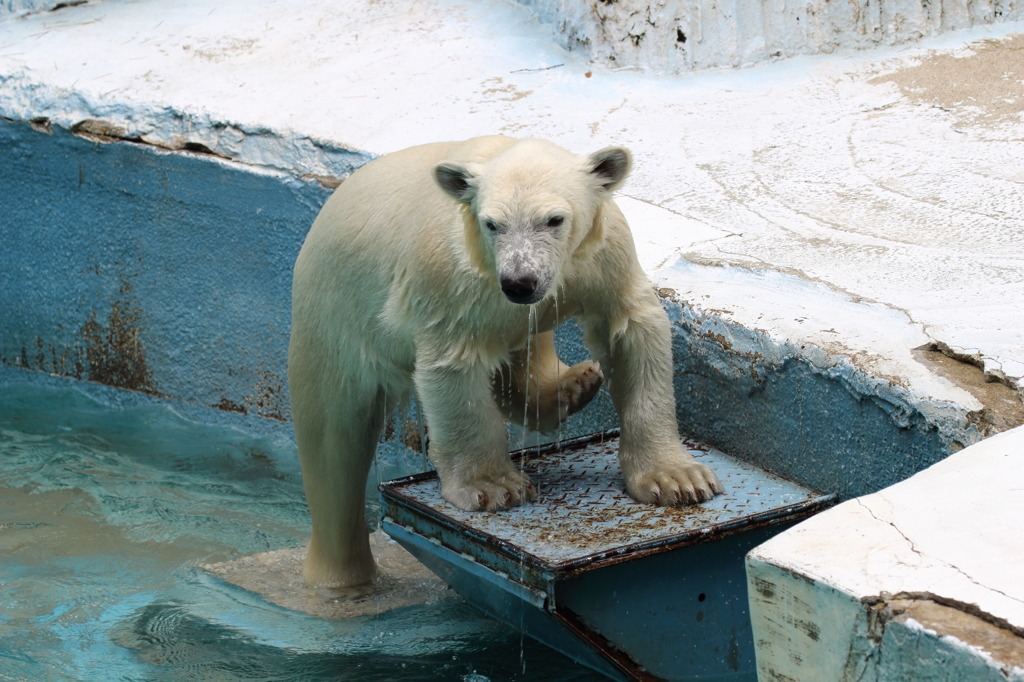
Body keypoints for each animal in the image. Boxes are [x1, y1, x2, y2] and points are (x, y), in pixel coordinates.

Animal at [286, 137, 720, 585]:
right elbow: (455, 368)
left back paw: (574, 385)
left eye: (554, 220)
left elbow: (630, 332)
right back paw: (341, 576)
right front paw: (496, 487)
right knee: (334, 442)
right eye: (492, 224)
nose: (519, 283)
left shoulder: (602, 255)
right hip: (336, 313)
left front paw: (677, 480)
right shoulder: (453, 279)